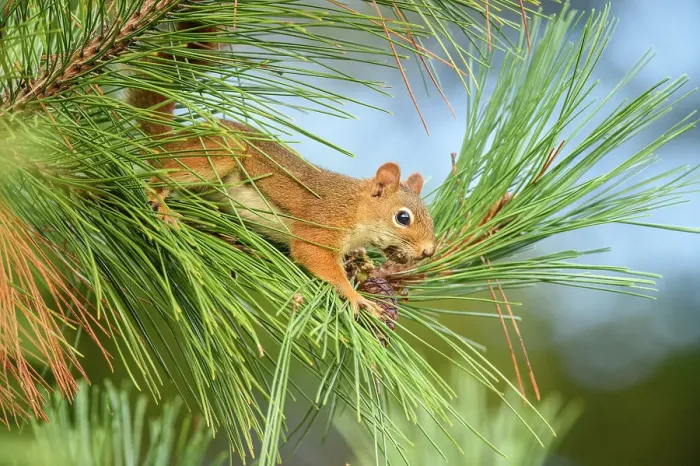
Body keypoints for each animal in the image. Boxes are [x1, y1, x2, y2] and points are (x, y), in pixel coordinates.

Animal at [127, 20, 437, 318]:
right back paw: (160, 202)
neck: (353, 206)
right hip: (216, 155)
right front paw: (357, 297)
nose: (429, 251)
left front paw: (361, 258)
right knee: (161, 176)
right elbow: (316, 259)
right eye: (403, 218)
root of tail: (173, 141)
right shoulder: (321, 226)